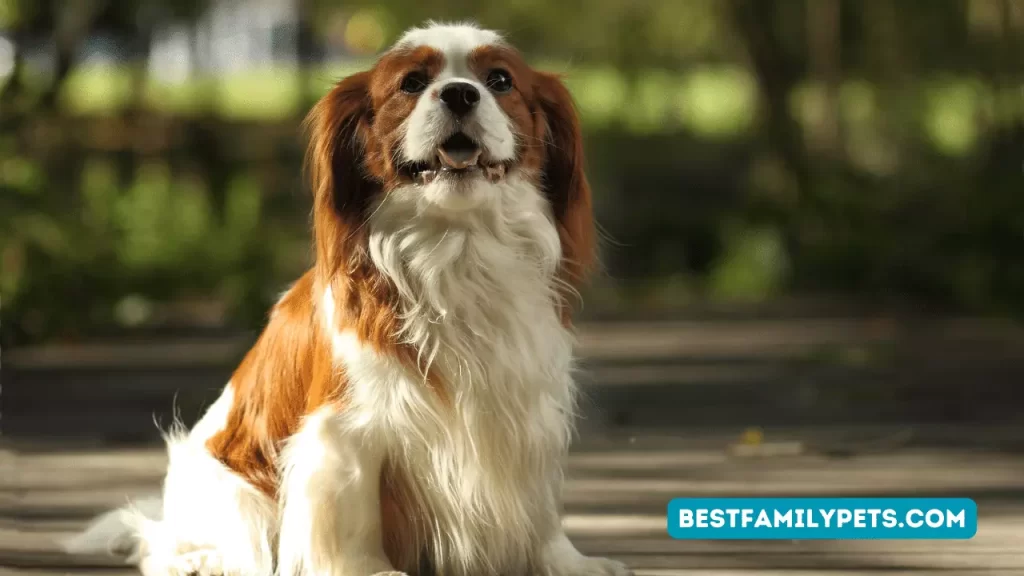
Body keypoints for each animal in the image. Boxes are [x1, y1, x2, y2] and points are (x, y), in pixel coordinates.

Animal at [66, 21, 630, 573]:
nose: (459, 93)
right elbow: (351, 514)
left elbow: (541, 508)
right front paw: (371, 570)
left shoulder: (528, 412)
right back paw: (199, 560)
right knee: (163, 543)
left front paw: (568, 562)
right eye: (411, 84)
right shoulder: (343, 431)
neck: (459, 247)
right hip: (234, 494)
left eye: (500, 81)